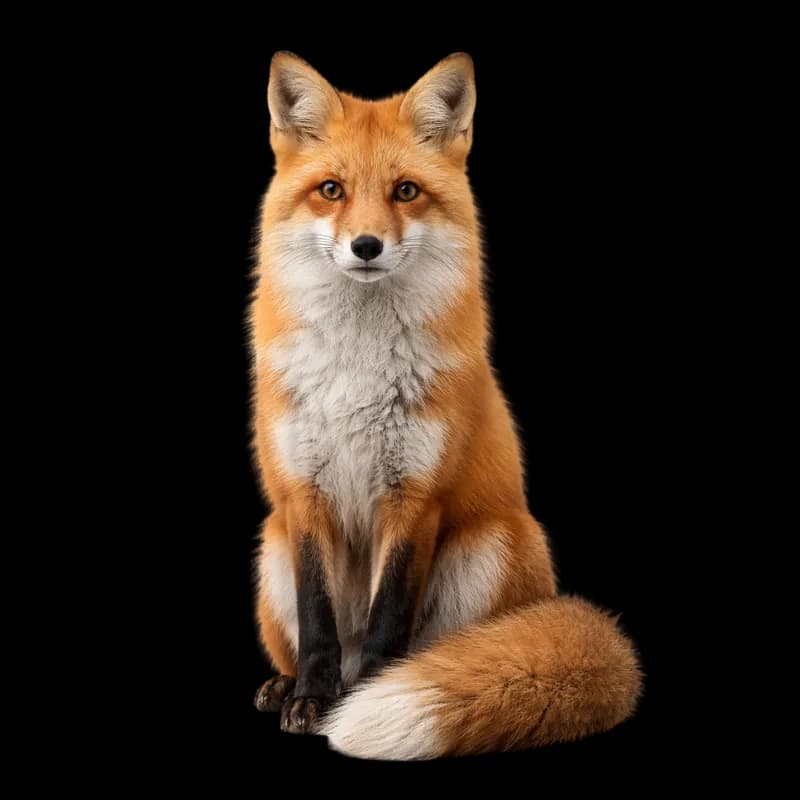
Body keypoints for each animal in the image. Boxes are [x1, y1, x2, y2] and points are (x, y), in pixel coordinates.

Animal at [251, 51, 641, 760]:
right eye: (331, 190)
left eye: (405, 191)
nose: (367, 246)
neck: (358, 369)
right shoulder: (303, 494)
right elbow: (319, 623)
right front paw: (313, 699)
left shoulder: (416, 494)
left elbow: (389, 620)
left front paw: (358, 699)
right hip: (272, 544)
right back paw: (286, 685)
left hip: (491, 546)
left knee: (435, 650)